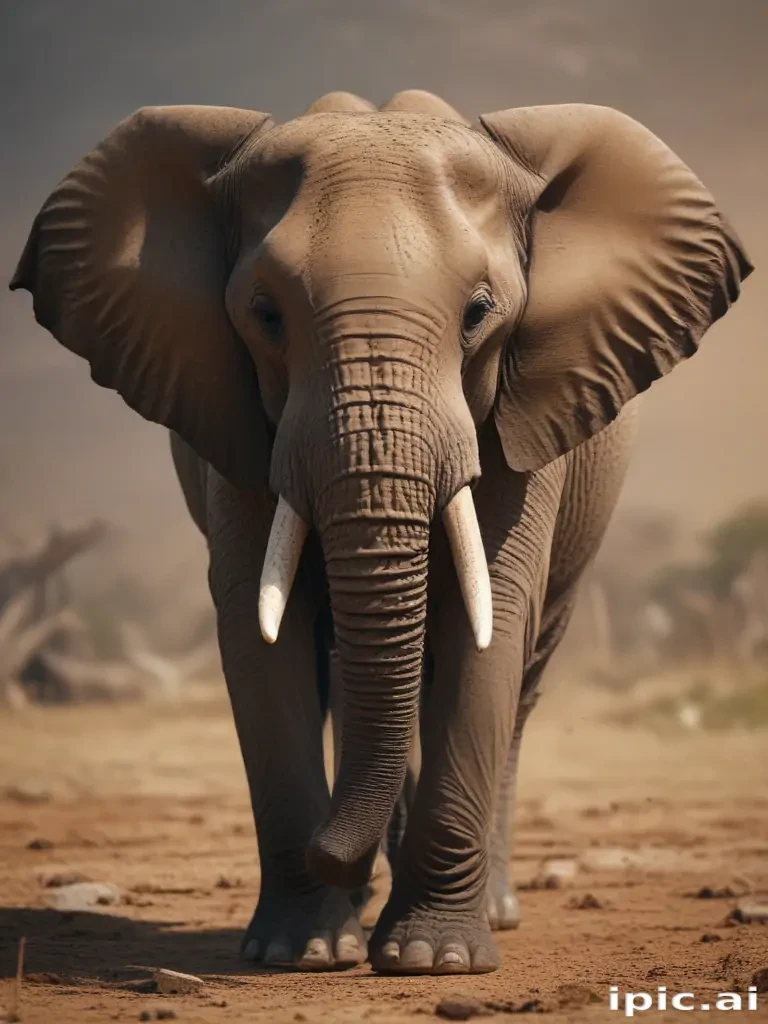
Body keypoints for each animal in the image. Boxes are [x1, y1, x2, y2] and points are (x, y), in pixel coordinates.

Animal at [11, 88, 752, 975]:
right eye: (264, 315)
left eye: (479, 314)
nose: (336, 854)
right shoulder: (230, 416)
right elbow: (260, 627)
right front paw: (301, 951)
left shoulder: (522, 411)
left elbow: (488, 615)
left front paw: (434, 959)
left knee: (520, 677)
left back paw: (486, 909)